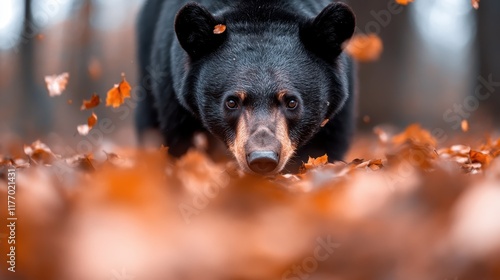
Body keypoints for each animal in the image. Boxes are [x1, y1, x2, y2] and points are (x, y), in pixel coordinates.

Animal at [135, 0, 358, 174]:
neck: (260, 11)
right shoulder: (173, 96)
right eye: (231, 102)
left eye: (292, 102)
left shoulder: (336, 116)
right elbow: (181, 142)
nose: (263, 158)